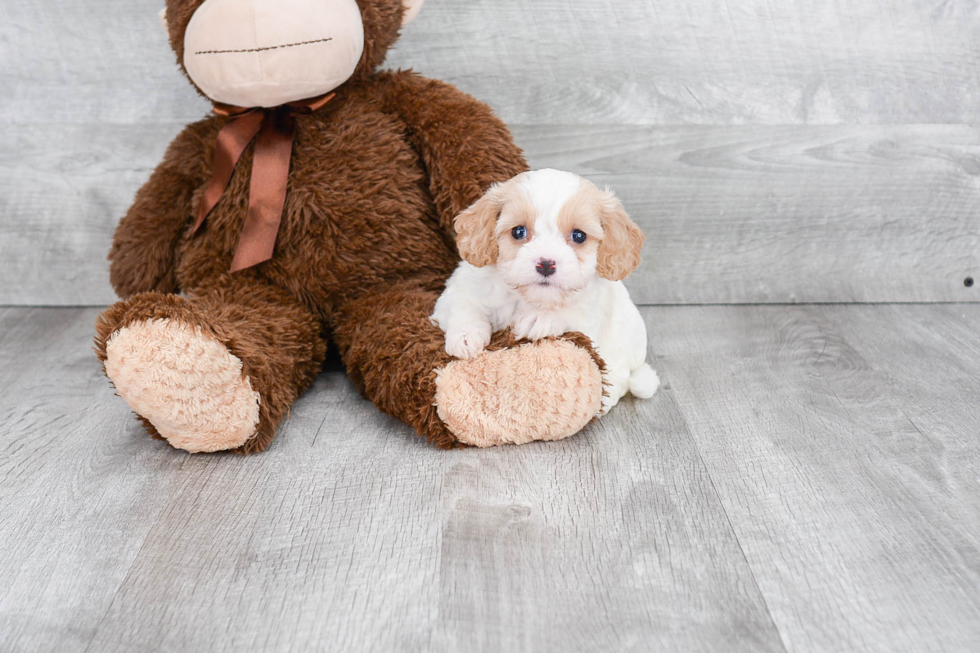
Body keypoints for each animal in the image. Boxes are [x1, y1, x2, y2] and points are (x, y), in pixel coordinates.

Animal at [432, 168, 664, 412]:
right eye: (518, 232)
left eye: (578, 235)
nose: (545, 264)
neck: (525, 297)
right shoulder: (458, 290)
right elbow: (465, 306)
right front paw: (466, 337)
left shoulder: (589, 321)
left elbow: (571, 313)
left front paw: (541, 318)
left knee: (620, 380)